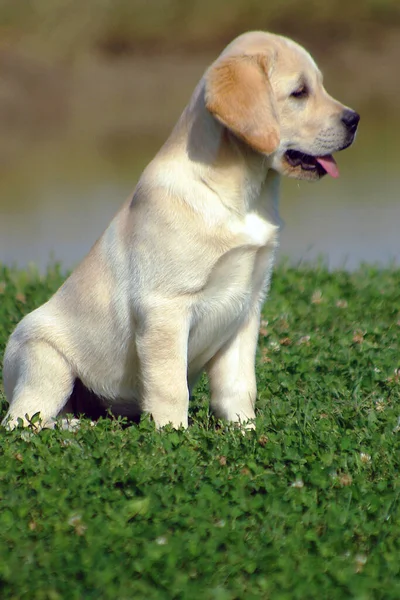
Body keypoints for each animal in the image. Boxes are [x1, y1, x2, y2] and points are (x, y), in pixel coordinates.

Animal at [1, 32, 360, 428]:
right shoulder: (165, 308)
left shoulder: (247, 309)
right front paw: (173, 435)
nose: (355, 119)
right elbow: (171, 390)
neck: (241, 196)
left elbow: (238, 387)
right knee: (22, 421)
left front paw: (245, 432)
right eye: (299, 92)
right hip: (46, 361)